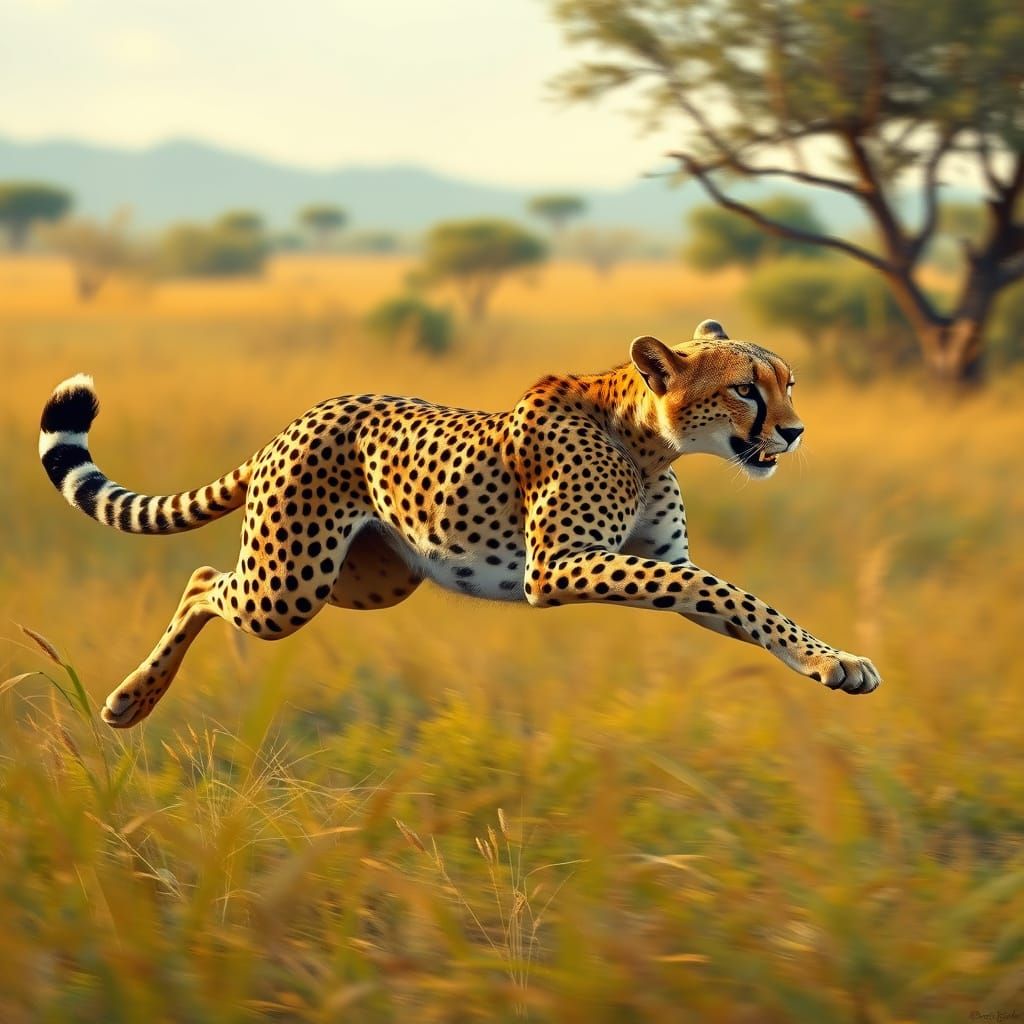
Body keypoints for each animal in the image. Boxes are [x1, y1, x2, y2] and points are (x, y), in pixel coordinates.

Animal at [38, 318, 880, 728]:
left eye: (790, 382)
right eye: (746, 389)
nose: (795, 431)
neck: (646, 439)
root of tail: (302, 417)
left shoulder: (661, 557)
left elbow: (736, 603)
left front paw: (829, 661)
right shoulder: (559, 566)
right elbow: (730, 592)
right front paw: (835, 662)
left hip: (370, 582)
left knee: (209, 575)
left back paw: (135, 699)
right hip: (288, 585)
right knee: (204, 580)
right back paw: (131, 700)